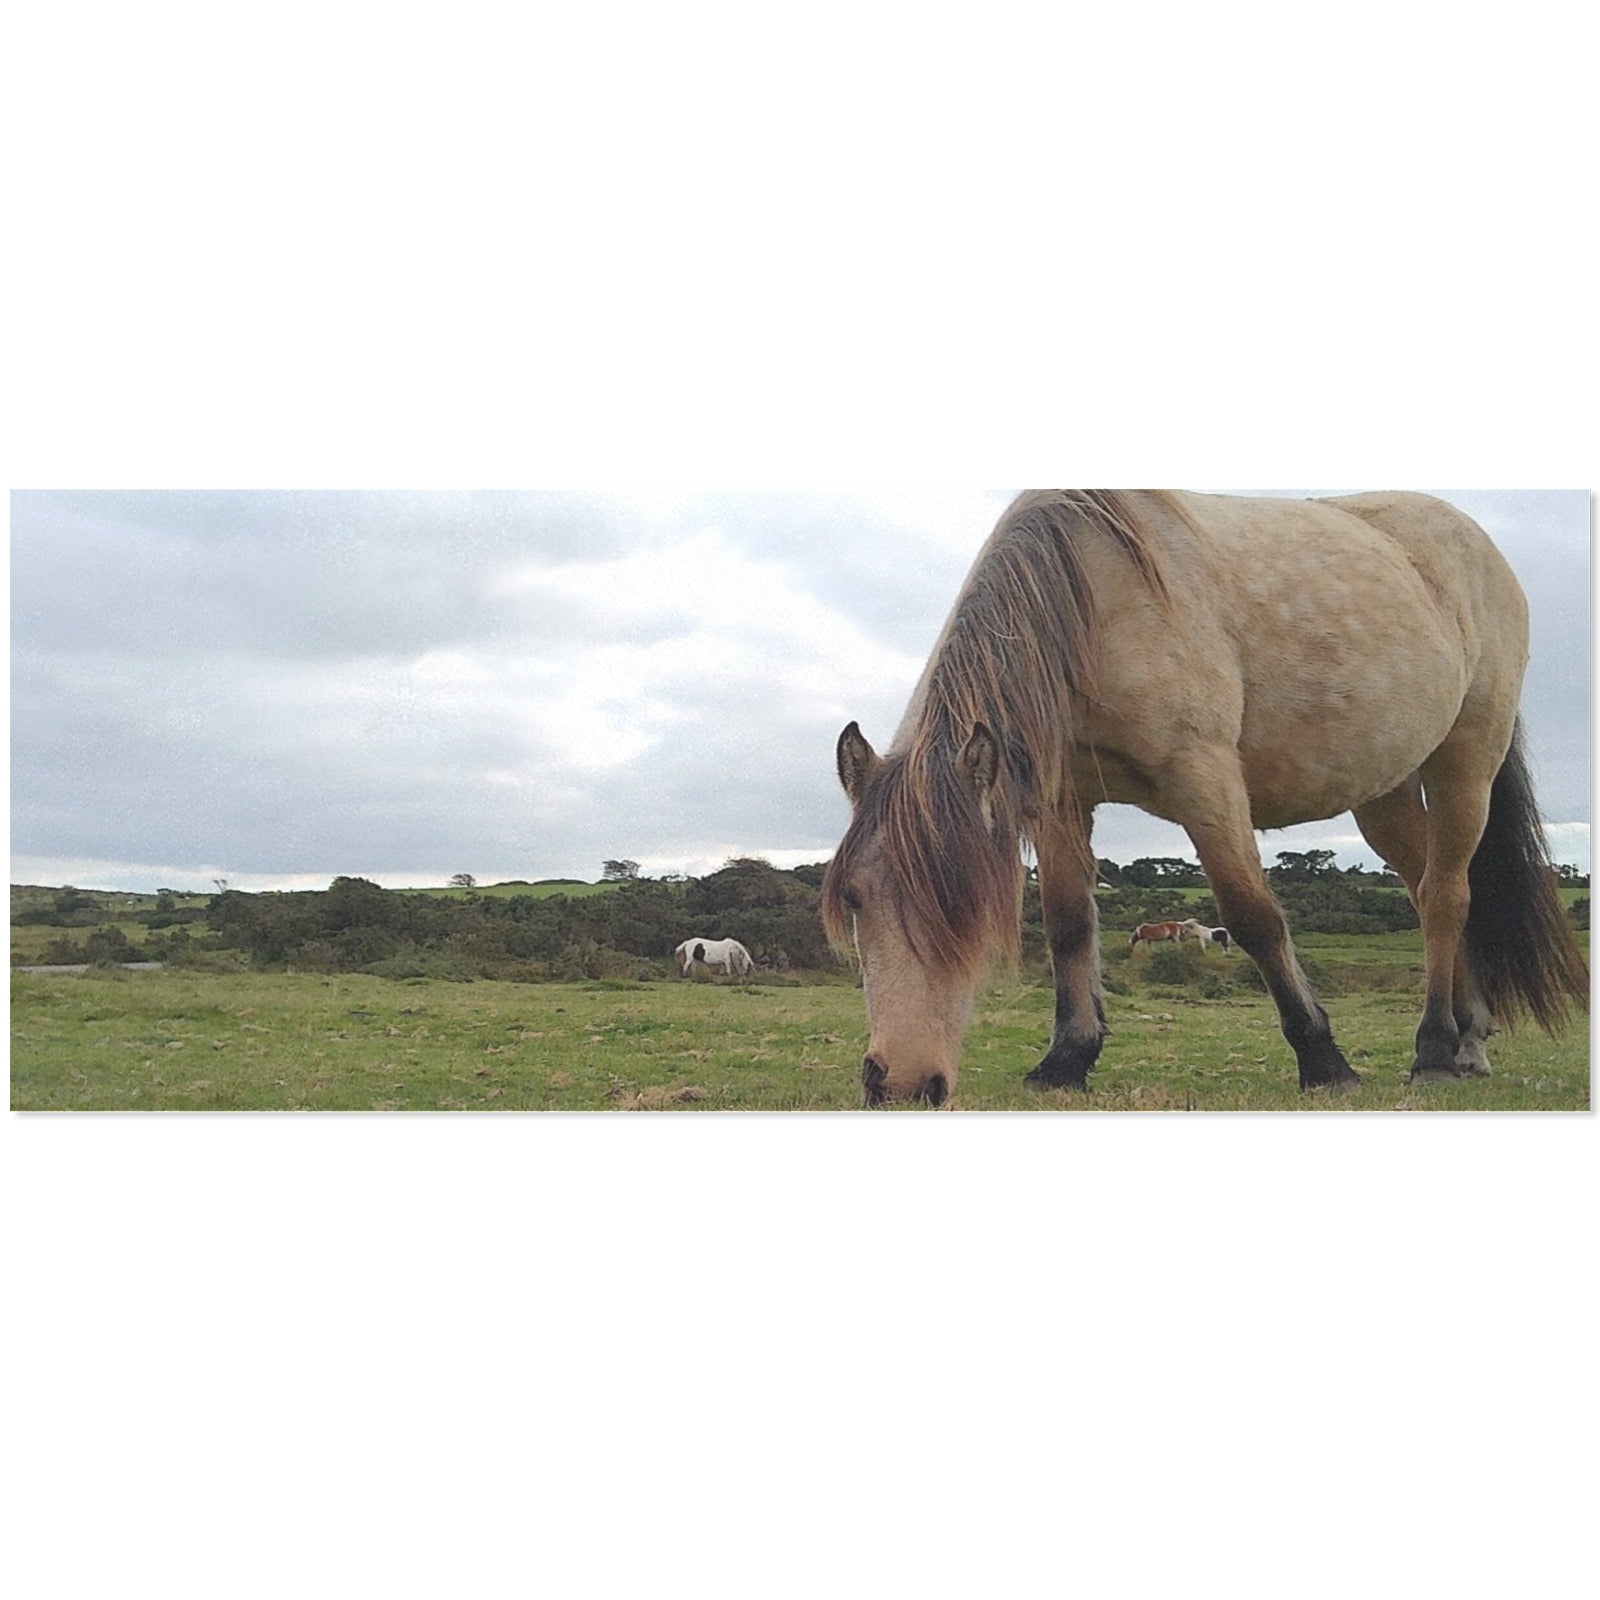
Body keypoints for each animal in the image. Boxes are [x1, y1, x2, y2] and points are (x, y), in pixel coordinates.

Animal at [822, 490, 1586, 1107]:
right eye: (854, 898)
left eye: (968, 903)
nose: (899, 1083)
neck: (1095, 600)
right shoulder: (1062, 801)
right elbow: (1069, 923)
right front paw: (1067, 1060)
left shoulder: (1204, 778)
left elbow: (1254, 917)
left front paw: (1324, 1060)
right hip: (1386, 791)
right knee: (1431, 891)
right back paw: (1467, 1040)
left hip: (1466, 762)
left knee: (1449, 896)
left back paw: (1434, 1051)